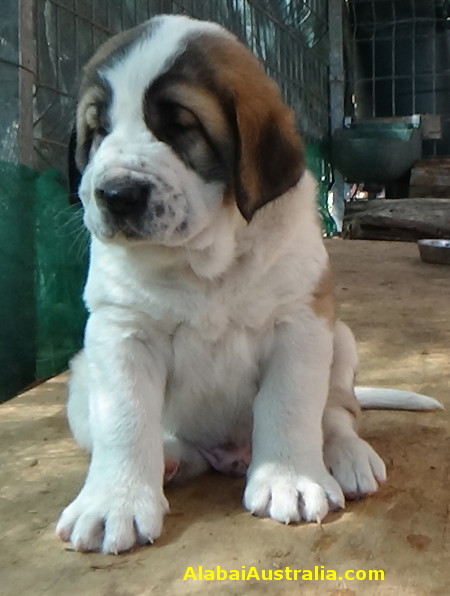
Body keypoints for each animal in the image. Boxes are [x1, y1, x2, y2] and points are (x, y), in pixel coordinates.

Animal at [55, 14, 440, 556]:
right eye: (97, 130)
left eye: (180, 127)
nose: (115, 194)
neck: (206, 261)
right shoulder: (120, 332)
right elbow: (125, 421)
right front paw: (114, 503)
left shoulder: (300, 323)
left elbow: (291, 405)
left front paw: (289, 480)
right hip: (80, 377)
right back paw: (169, 457)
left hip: (340, 340)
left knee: (337, 412)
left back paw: (347, 456)